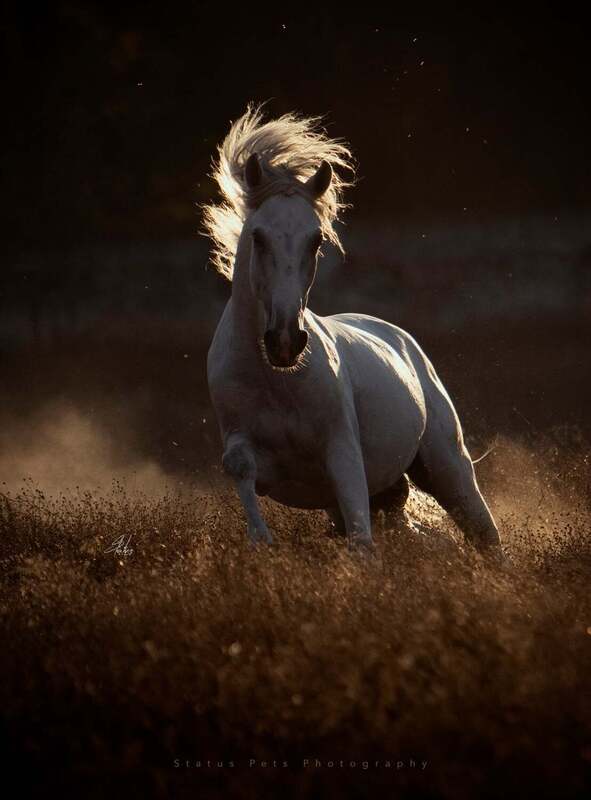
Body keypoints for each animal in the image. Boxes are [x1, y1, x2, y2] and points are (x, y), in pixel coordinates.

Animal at [204, 105, 501, 553]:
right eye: (258, 237)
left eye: (315, 240)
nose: (286, 341)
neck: (276, 379)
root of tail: (403, 340)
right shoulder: (252, 451)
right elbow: (239, 468)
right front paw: (262, 541)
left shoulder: (342, 453)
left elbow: (362, 544)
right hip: (391, 496)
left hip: (447, 468)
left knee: (486, 536)